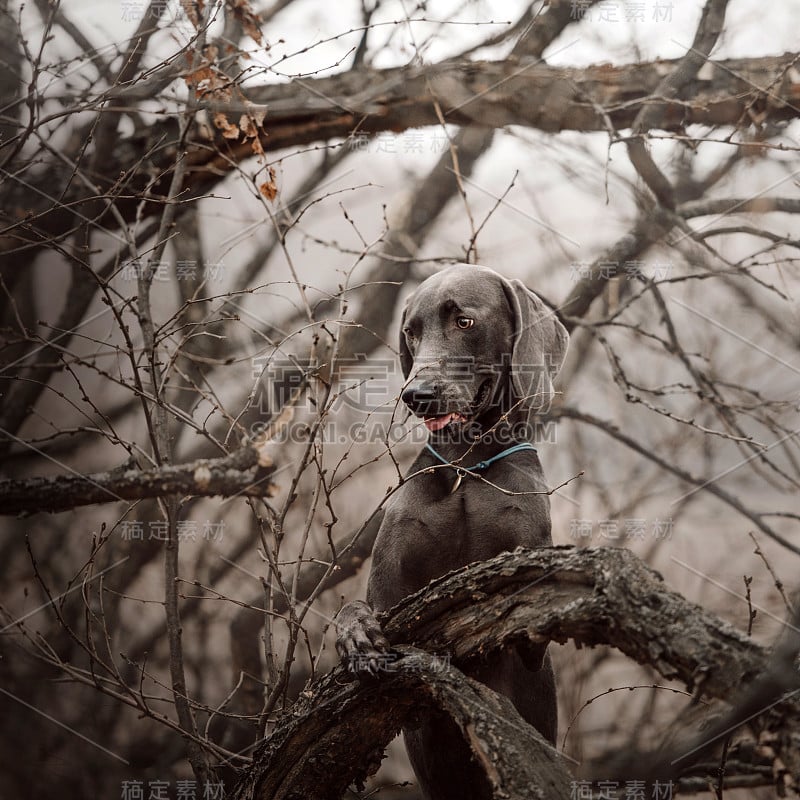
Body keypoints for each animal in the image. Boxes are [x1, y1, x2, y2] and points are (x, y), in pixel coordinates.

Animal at [336, 264, 568, 800]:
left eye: (464, 321)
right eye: (411, 333)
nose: (416, 396)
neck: (466, 465)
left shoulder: (531, 635)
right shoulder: (389, 587)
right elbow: (355, 607)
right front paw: (356, 635)